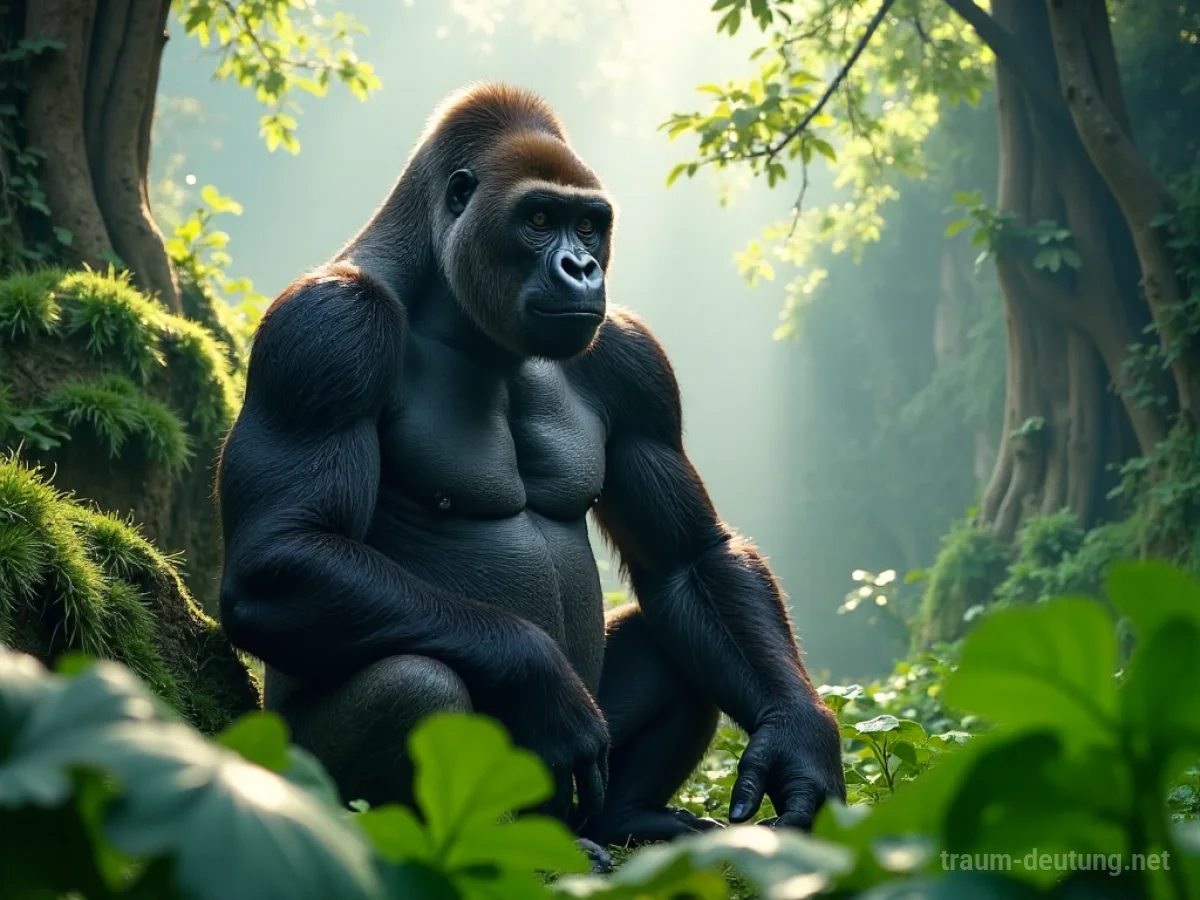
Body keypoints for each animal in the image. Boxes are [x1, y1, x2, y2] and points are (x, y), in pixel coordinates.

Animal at [216, 83, 845, 861]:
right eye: (539, 220)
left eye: (589, 225)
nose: (583, 269)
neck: (445, 299)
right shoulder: (325, 334)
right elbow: (281, 551)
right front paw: (536, 676)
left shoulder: (633, 359)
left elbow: (691, 555)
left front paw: (800, 741)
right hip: (290, 767)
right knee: (417, 684)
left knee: (676, 624)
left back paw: (629, 818)